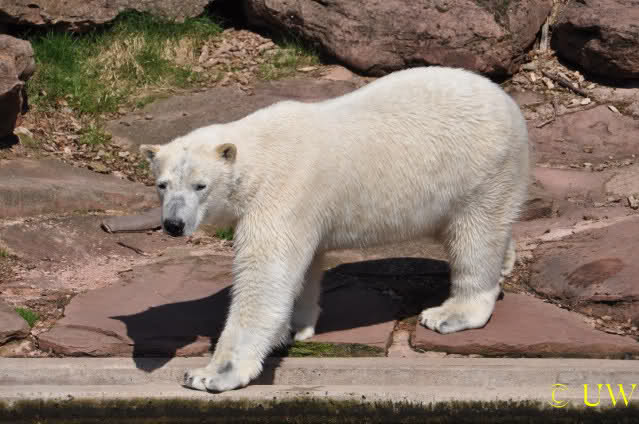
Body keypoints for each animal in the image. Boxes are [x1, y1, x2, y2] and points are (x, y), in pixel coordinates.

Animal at [140, 65, 530, 393]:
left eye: (200, 186)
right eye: (162, 184)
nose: (173, 225)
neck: (261, 153)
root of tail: (507, 101)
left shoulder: (282, 192)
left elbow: (265, 277)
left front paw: (210, 374)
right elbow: (303, 268)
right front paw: (293, 328)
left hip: (481, 170)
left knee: (475, 237)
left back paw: (451, 313)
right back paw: (505, 263)